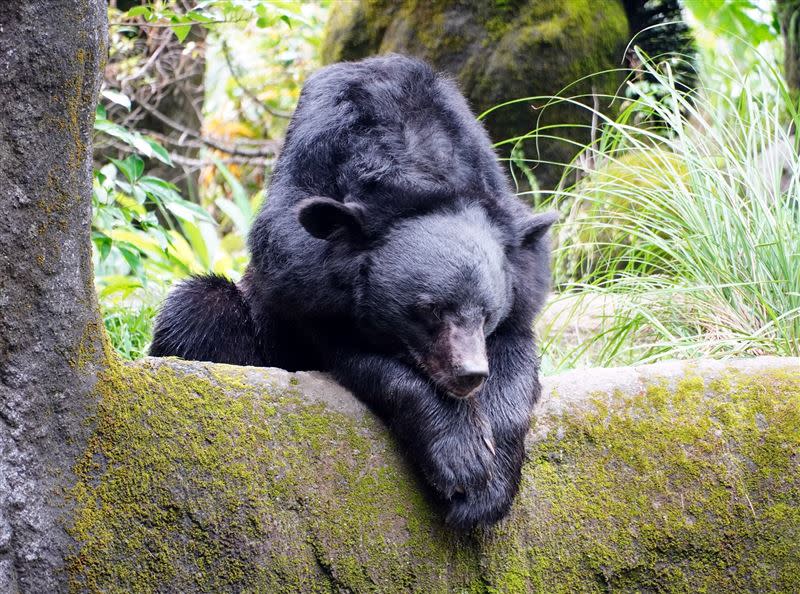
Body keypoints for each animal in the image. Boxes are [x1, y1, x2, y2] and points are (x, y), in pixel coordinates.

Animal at [153, 55, 560, 528]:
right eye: (429, 310)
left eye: (487, 314)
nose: (469, 374)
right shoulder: (303, 278)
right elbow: (363, 357)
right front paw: (463, 461)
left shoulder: (518, 268)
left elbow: (516, 359)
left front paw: (489, 482)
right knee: (197, 310)